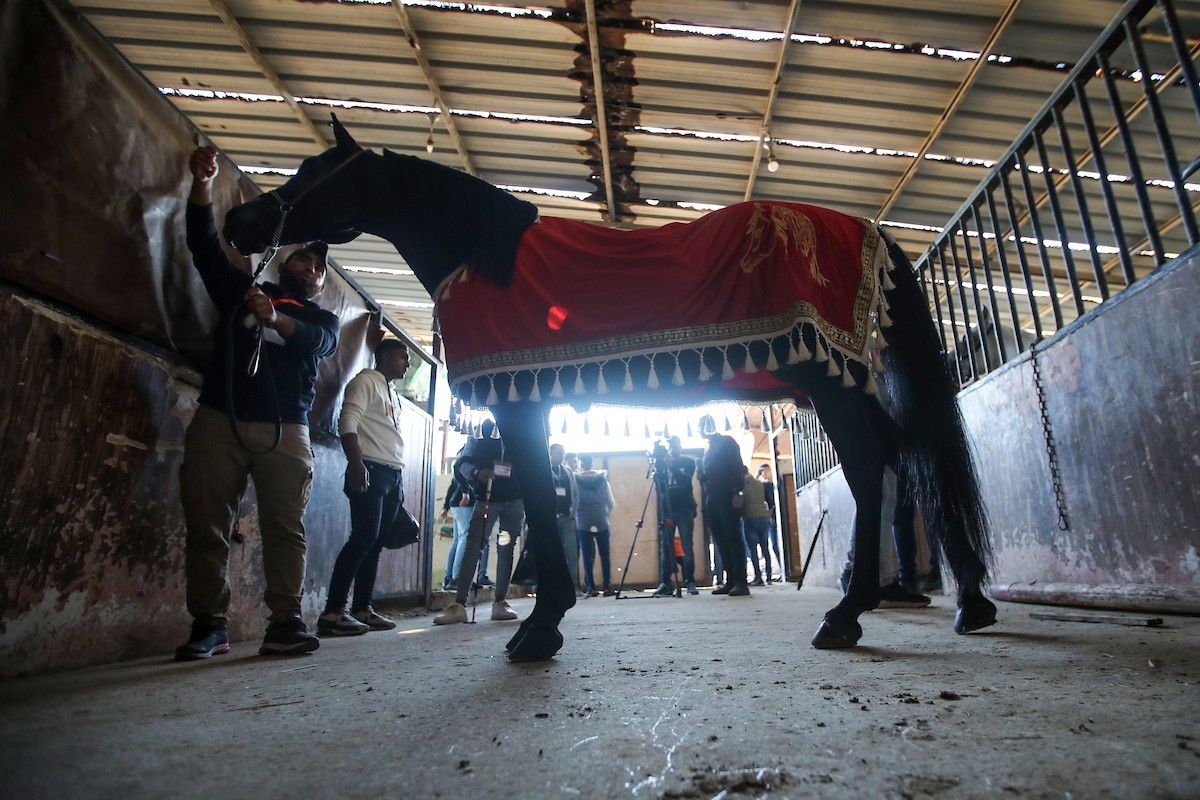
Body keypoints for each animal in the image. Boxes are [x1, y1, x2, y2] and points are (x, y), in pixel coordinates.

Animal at [223, 115, 993, 662]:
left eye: (318, 170)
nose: (241, 221)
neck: (486, 257)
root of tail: (866, 229)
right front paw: (545, 619)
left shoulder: (522, 407)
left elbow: (538, 502)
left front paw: (540, 628)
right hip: (842, 382)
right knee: (909, 459)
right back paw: (967, 602)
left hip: (826, 381)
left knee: (871, 466)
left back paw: (848, 614)